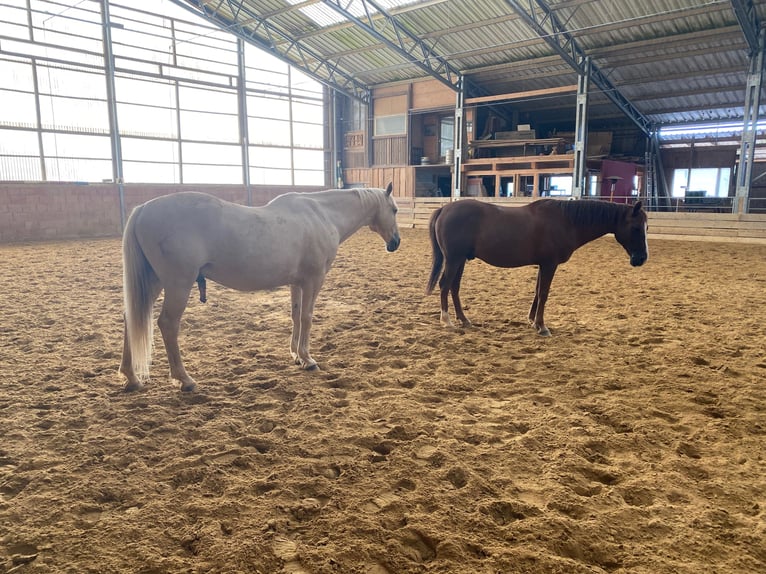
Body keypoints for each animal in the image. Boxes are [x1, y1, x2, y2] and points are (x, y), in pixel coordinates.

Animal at [120, 184, 402, 392]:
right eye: (395, 209)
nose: (396, 243)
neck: (322, 214)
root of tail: (144, 209)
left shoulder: (297, 282)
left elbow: (296, 316)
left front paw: (296, 355)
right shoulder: (313, 280)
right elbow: (307, 317)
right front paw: (308, 359)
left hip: (154, 283)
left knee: (132, 317)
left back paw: (131, 377)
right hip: (178, 284)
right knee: (167, 324)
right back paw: (184, 380)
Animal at [426, 198, 648, 336]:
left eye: (647, 227)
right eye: (636, 228)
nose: (641, 259)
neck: (566, 221)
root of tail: (444, 209)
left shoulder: (543, 264)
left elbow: (537, 291)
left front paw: (532, 320)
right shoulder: (550, 264)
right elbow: (543, 293)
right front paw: (541, 326)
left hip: (461, 260)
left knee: (454, 287)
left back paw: (464, 320)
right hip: (454, 259)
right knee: (445, 285)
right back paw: (447, 321)